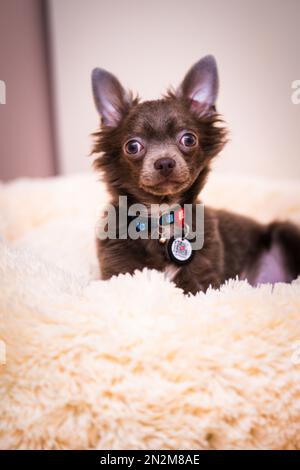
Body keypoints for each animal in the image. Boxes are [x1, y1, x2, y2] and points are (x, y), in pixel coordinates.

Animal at [91, 55, 300, 294]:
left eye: (189, 139)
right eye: (132, 147)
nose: (165, 162)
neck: (162, 215)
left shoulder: (204, 280)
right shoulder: (118, 270)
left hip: (286, 231)